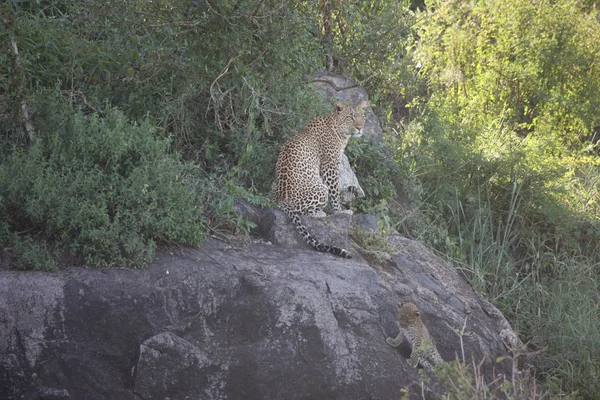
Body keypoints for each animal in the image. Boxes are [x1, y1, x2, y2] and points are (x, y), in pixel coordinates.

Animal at [270, 98, 368, 258]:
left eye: (362, 116)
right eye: (351, 117)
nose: (359, 128)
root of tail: (282, 200)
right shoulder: (330, 166)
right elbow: (335, 192)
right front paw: (340, 211)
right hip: (321, 190)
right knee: (305, 213)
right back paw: (320, 213)